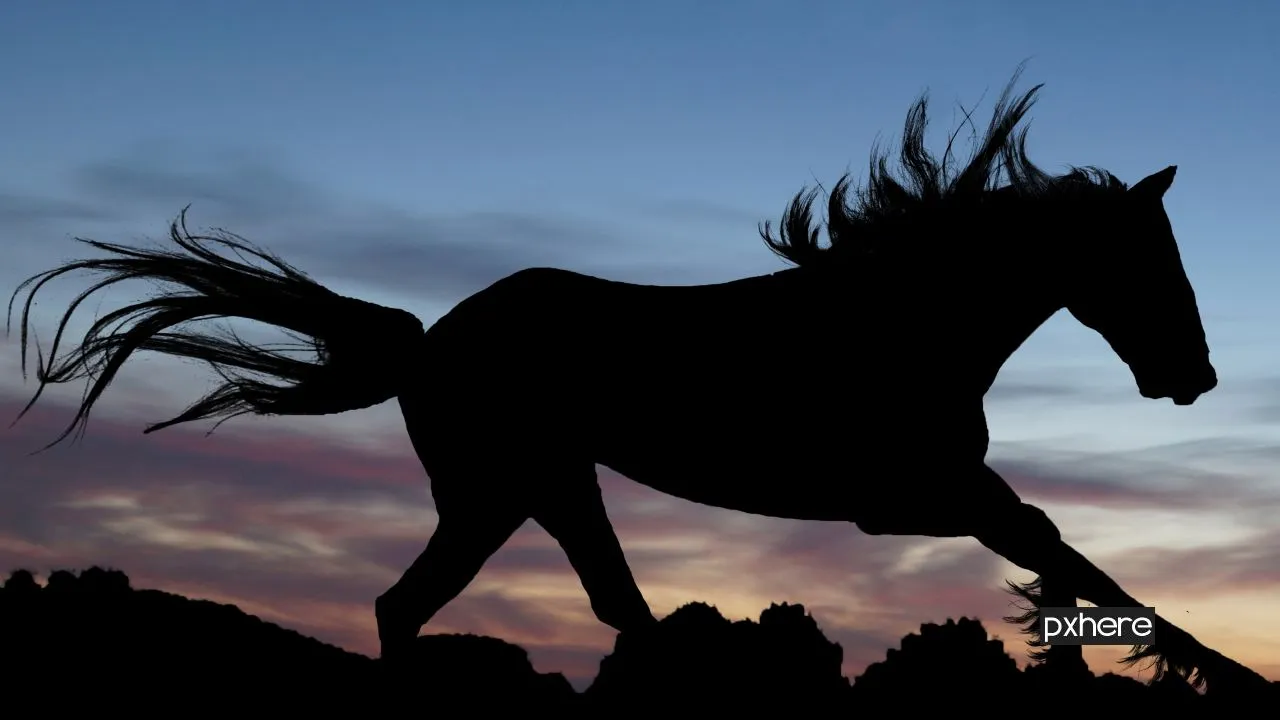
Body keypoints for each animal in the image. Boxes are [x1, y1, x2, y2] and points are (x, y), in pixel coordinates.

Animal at [6, 74, 1264, 692]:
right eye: (1149, 261)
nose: (1194, 376)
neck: (897, 323)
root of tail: (431, 342)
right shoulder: (915, 497)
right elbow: (1068, 552)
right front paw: (1223, 677)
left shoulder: (932, 499)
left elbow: (1070, 559)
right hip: (508, 488)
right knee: (440, 609)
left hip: (535, 491)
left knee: (565, 610)